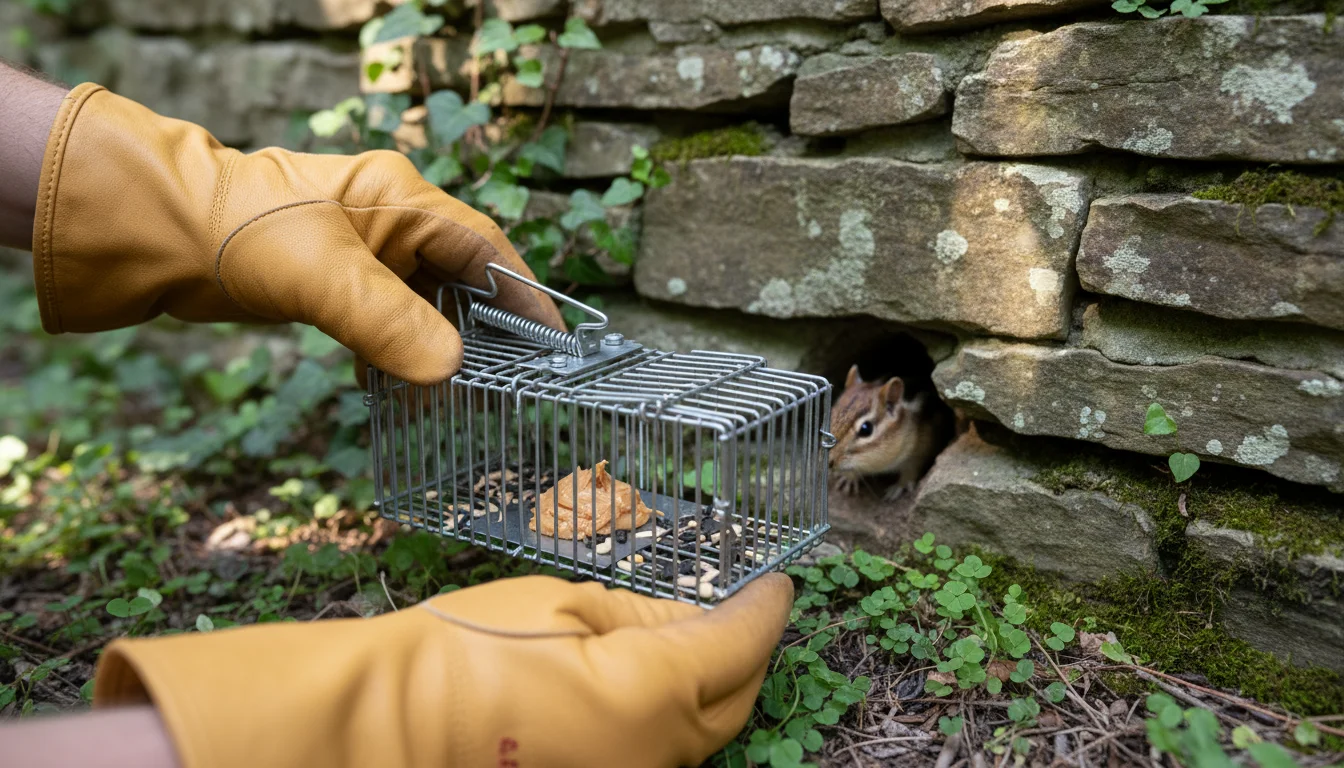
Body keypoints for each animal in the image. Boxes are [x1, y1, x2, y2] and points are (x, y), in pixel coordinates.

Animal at [829, 364, 947, 501]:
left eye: (866, 429)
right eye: (831, 415)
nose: (829, 461)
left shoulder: (922, 447)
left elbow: (912, 468)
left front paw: (901, 485)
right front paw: (849, 477)